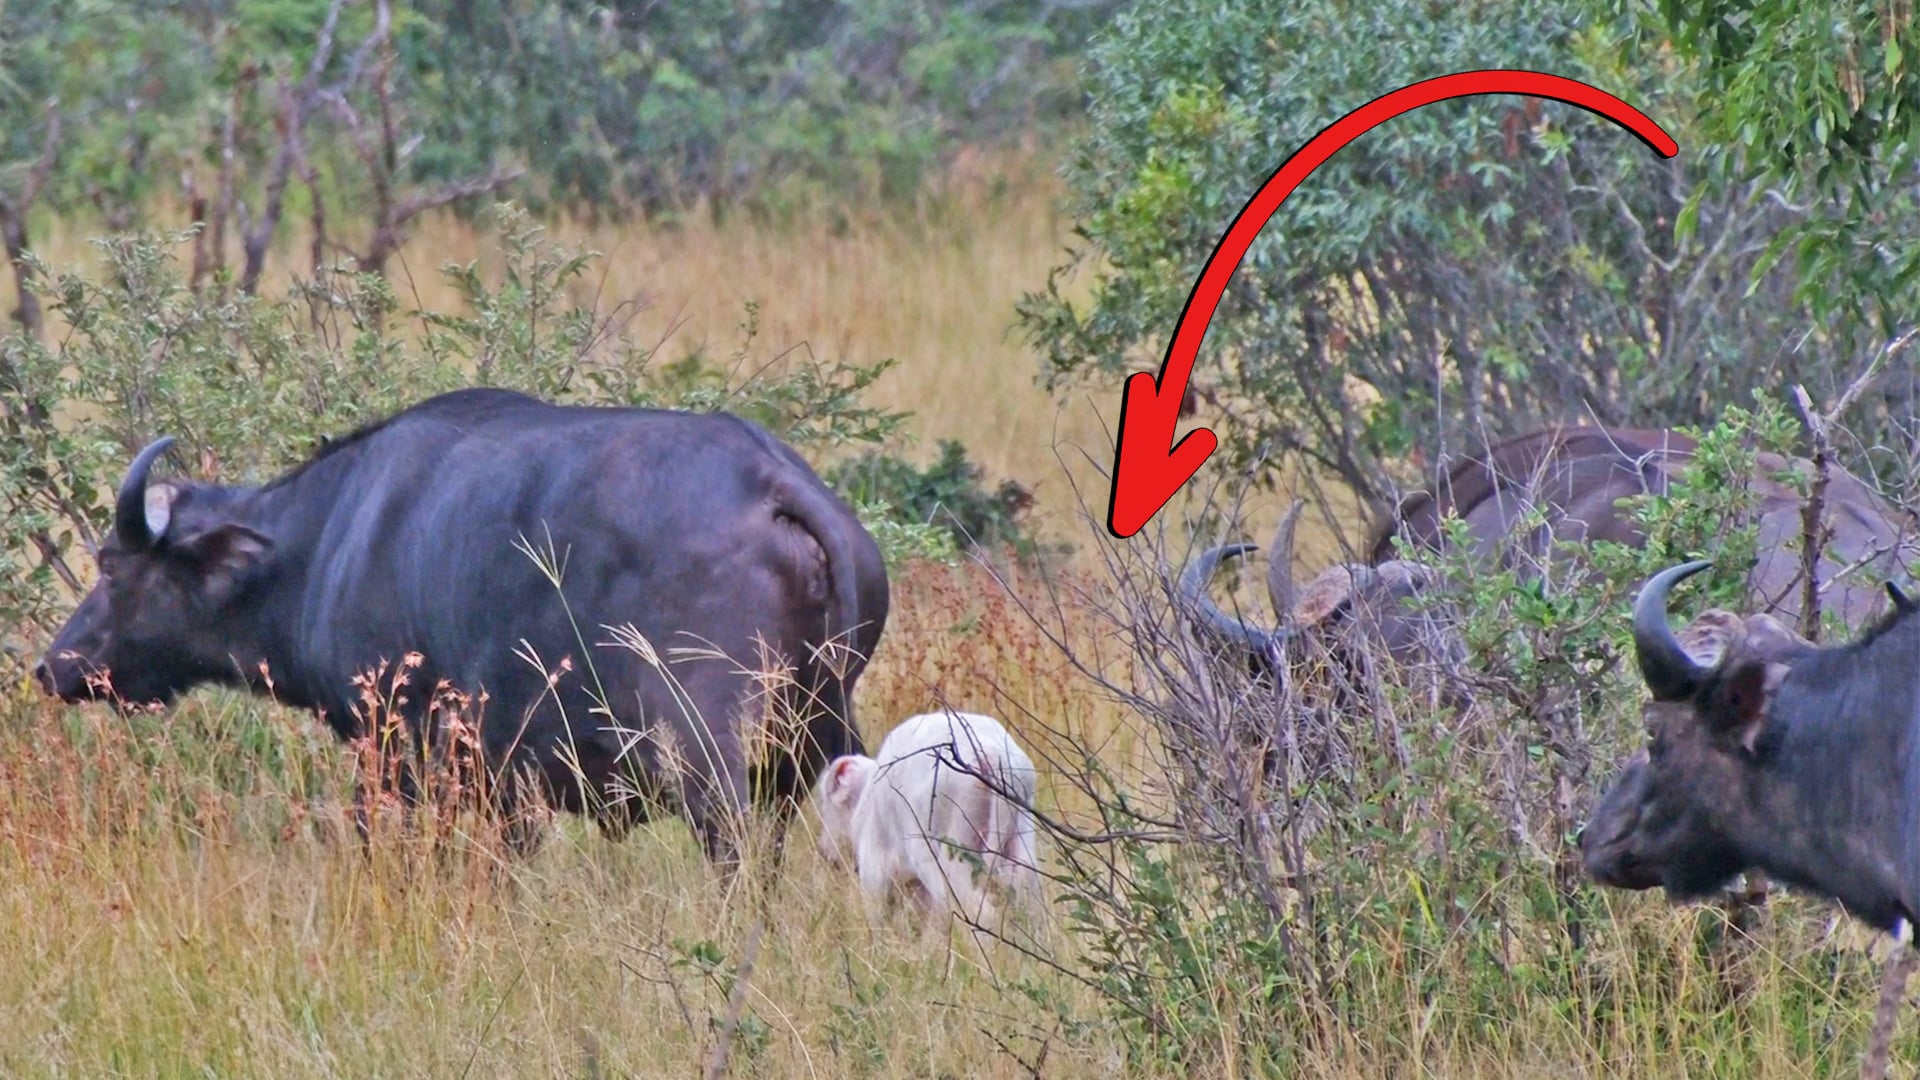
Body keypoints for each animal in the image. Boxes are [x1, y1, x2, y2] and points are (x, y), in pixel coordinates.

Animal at [33, 387, 891, 863]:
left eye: (111, 565)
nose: (53, 665)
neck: (333, 534)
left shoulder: (399, 757)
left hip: (704, 754)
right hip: (819, 740)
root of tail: (772, 482)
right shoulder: (508, 791)